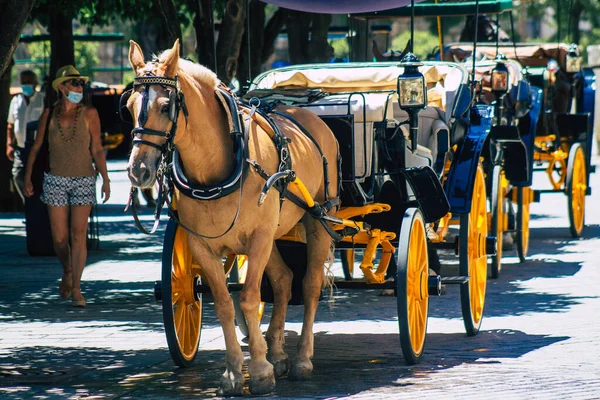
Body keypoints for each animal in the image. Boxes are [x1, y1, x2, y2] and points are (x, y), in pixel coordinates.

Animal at [124, 39, 340, 396]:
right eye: (127, 107)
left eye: (166, 106)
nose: (138, 170)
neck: (216, 168)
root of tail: (308, 115)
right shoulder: (203, 245)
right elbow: (226, 305)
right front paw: (235, 372)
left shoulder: (258, 238)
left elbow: (250, 298)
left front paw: (261, 370)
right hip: (273, 234)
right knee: (283, 280)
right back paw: (278, 352)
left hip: (316, 219)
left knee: (309, 285)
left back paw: (301, 359)